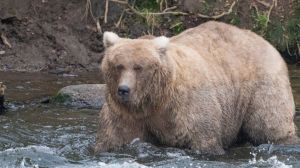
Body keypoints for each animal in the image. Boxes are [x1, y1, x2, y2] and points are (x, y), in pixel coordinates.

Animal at [95, 21, 298, 155]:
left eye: (139, 67)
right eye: (119, 65)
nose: (124, 90)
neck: (155, 100)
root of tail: (265, 41)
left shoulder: (188, 105)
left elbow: (204, 138)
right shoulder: (125, 113)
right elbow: (114, 137)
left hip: (261, 85)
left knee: (268, 123)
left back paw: (286, 140)